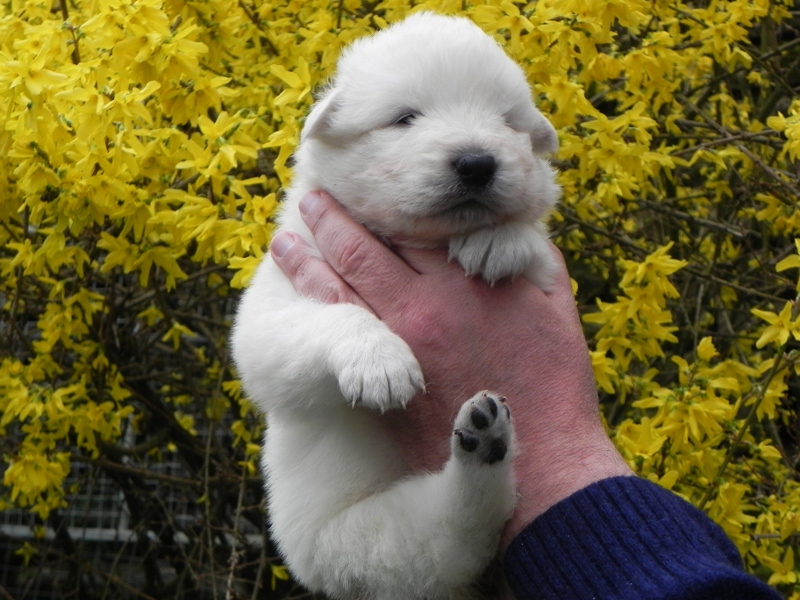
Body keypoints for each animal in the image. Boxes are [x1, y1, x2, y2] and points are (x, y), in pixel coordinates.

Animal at [232, 12, 560, 600]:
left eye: (506, 123)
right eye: (405, 118)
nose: (477, 162)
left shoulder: (548, 280)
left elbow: (535, 241)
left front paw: (501, 239)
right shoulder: (270, 308)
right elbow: (333, 316)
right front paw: (380, 364)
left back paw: (485, 442)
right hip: (363, 541)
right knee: (448, 538)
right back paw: (483, 445)